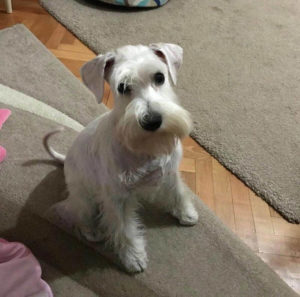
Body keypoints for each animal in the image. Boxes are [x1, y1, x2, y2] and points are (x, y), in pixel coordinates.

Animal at [44, 42, 199, 272]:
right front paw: (133, 257)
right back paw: (91, 230)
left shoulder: (169, 173)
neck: (145, 150)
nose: (152, 121)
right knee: (75, 211)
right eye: (123, 87)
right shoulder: (117, 197)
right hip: (84, 197)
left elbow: (177, 192)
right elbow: (124, 229)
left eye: (159, 77)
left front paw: (186, 211)